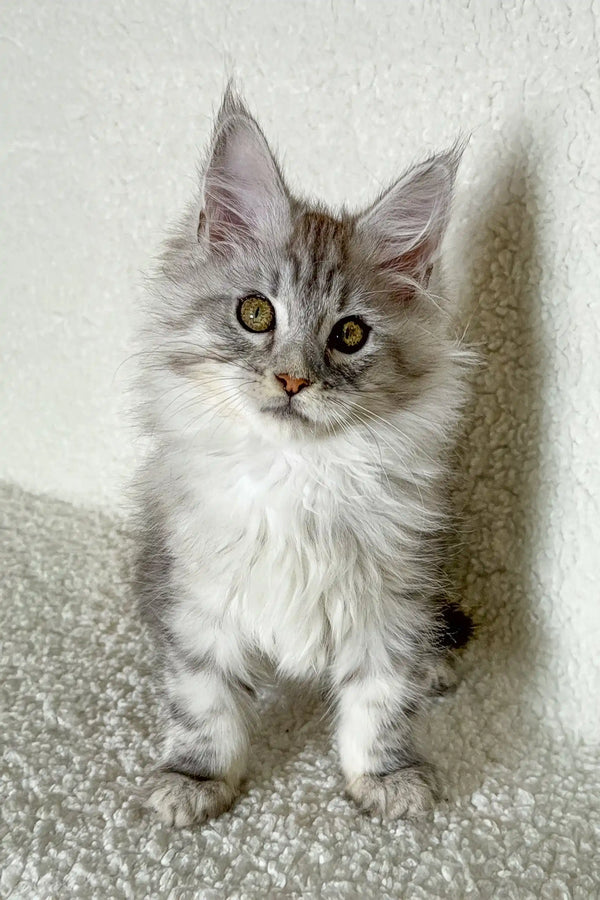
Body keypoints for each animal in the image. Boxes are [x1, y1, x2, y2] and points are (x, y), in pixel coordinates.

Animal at [134, 88, 472, 828]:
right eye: (256, 314)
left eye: (349, 335)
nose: (292, 379)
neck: (298, 475)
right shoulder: (201, 598)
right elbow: (202, 699)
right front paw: (196, 777)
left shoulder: (388, 598)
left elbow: (382, 698)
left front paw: (385, 775)